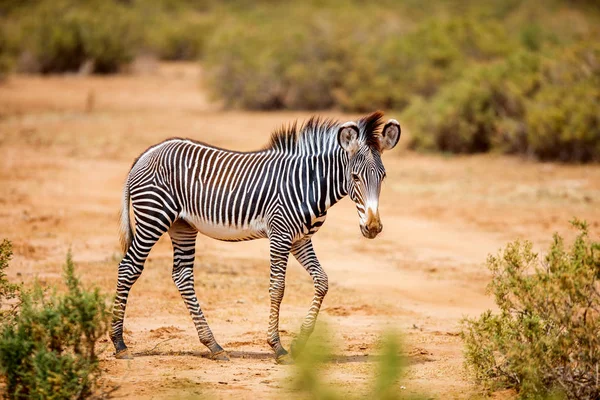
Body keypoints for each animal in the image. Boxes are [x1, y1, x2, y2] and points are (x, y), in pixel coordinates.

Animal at [111, 111, 404, 364]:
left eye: (383, 176)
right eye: (355, 177)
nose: (373, 227)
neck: (309, 184)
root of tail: (146, 154)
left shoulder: (300, 239)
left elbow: (322, 281)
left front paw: (299, 343)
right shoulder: (280, 234)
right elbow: (278, 288)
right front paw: (278, 347)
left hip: (182, 226)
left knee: (182, 276)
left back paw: (214, 346)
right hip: (153, 218)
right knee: (128, 268)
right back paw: (119, 344)